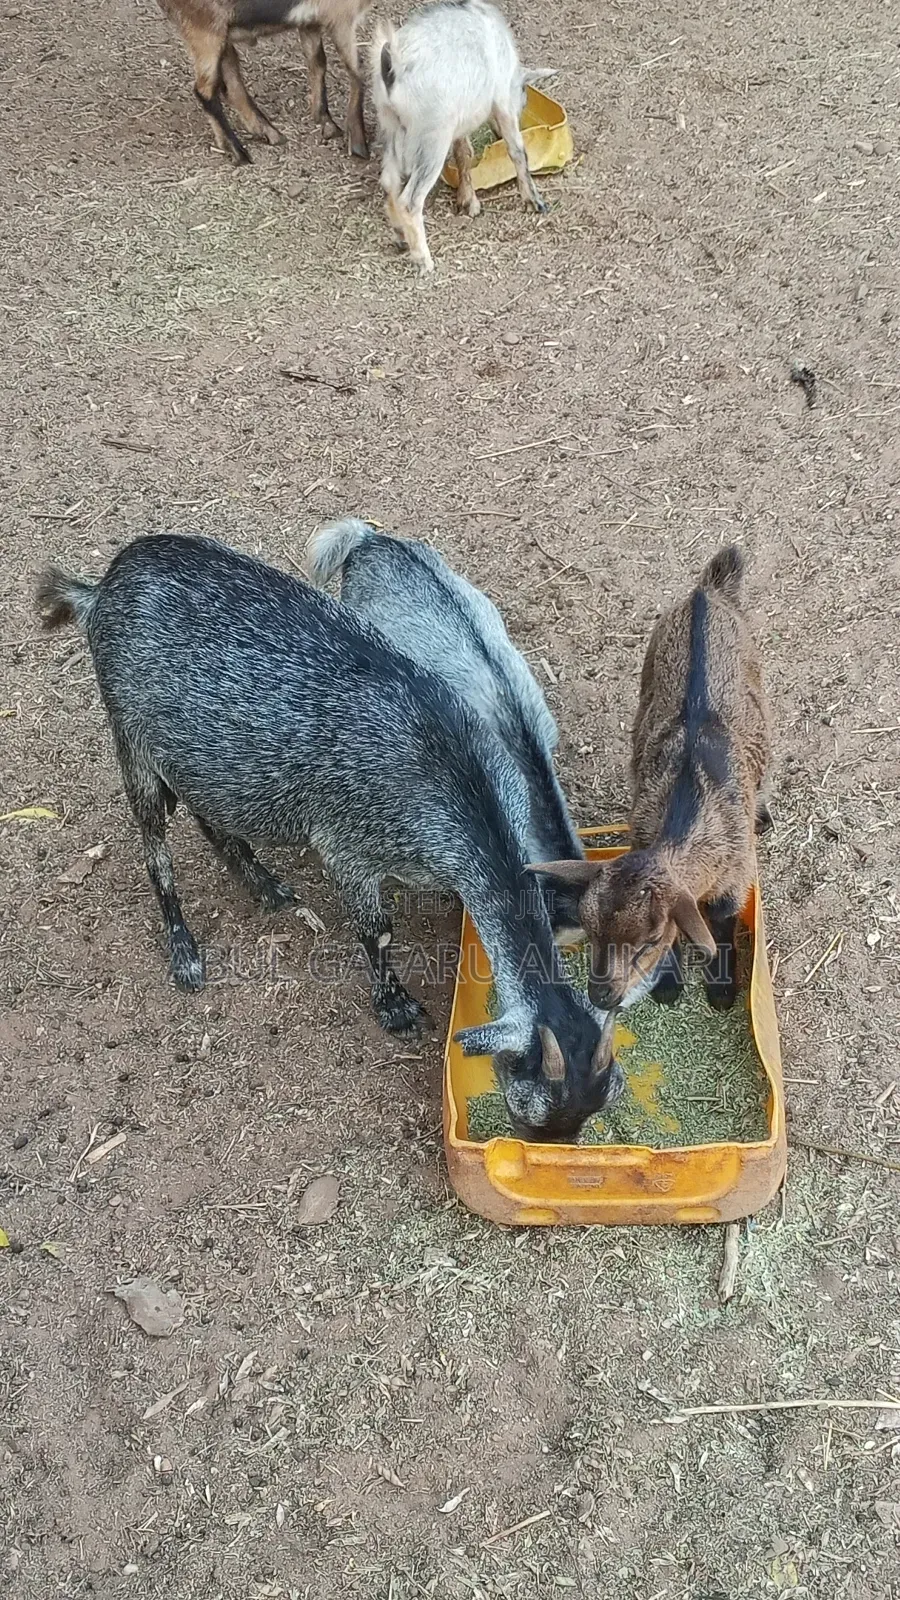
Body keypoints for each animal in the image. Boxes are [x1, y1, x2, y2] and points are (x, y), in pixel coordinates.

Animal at [156, 0, 371, 164]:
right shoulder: (340, 17)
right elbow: (357, 71)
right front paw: (359, 146)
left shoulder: (311, 22)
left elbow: (317, 62)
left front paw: (327, 124)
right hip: (205, 31)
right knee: (205, 90)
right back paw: (240, 153)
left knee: (230, 86)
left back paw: (267, 134)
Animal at [371, 0, 547, 273]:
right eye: (524, 93)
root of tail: (394, 63)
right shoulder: (503, 102)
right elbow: (517, 150)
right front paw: (534, 201)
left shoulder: (459, 125)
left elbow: (464, 152)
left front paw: (468, 202)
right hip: (432, 137)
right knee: (410, 200)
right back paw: (424, 260)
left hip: (392, 127)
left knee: (390, 180)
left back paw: (401, 237)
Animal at [531, 546, 772, 1012]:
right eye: (589, 929)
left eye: (648, 940)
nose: (601, 996)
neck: (686, 810)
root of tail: (706, 593)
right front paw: (668, 985)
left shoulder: (736, 875)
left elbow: (721, 925)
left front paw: (721, 989)